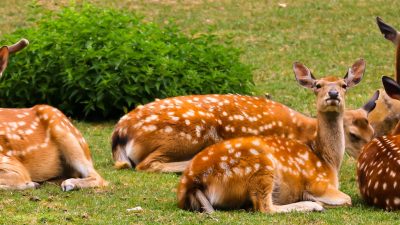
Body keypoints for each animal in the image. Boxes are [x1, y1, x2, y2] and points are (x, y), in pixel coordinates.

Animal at [111, 66, 376, 173]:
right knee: (147, 164)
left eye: (372, 132)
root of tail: (119, 132)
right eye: (353, 135)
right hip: (189, 134)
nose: (333, 94)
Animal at [175, 58, 366, 213]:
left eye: (344, 85)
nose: (333, 94)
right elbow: (348, 199)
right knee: (264, 207)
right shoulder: (318, 183)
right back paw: (312, 205)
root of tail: (192, 183)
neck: (328, 161)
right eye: (318, 85)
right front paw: (315, 200)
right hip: (261, 167)